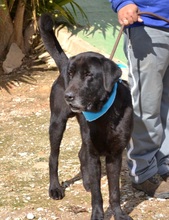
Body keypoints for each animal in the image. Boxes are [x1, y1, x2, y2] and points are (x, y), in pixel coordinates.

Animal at [38, 14, 133, 220]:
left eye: (89, 75)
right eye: (72, 74)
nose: (68, 96)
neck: (105, 114)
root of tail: (63, 65)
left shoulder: (114, 155)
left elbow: (115, 191)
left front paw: (119, 214)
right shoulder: (94, 153)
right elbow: (98, 193)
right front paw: (97, 214)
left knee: (81, 153)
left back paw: (87, 181)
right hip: (57, 123)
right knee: (53, 157)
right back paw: (55, 188)